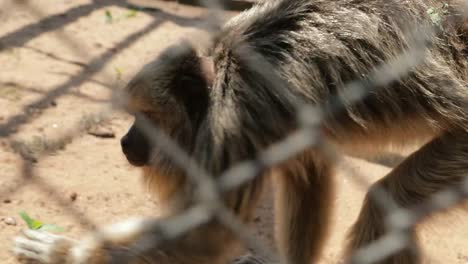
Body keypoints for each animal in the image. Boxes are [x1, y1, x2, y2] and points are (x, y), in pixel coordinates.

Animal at [11, 0, 468, 262]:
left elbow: (207, 239)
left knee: (385, 208)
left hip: (461, 150)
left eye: (147, 119)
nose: (125, 142)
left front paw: (62, 252)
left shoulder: (231, 124)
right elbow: (306, 172)